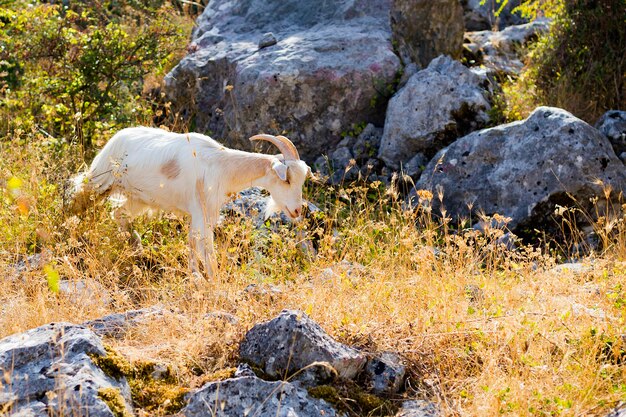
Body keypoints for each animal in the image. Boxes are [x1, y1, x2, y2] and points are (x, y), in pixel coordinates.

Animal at [70, 127, 310, 276]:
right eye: (287, 179)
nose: (297, 210)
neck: (221, 165)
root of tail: (115, 139)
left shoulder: (205, 213)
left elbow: (194, 242)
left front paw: (198, 275)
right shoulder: (200, 211)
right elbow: (205, 246)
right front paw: (211, 279)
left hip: (138, 199)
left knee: (119, 213)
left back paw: (137, 246)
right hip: (99, 182)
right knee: (77, 201)